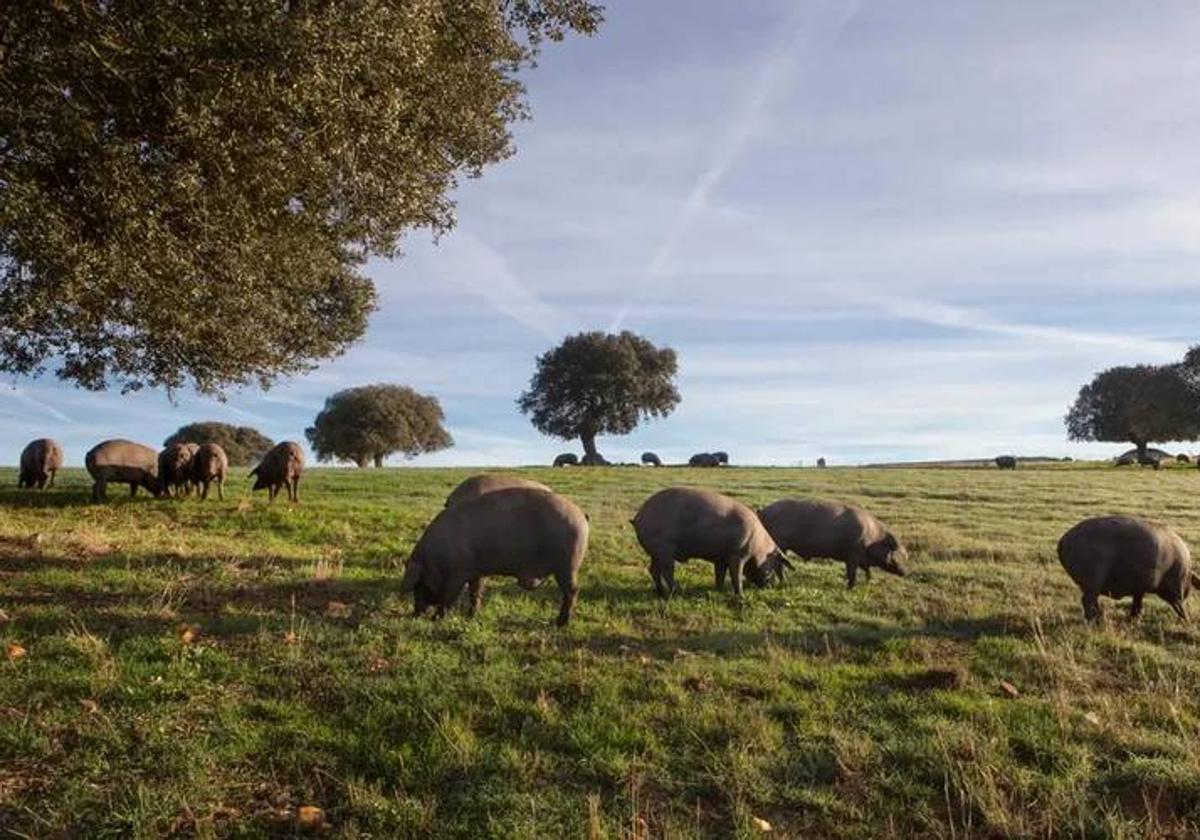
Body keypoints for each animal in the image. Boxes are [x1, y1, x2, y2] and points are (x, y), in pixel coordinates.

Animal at [403, 482, 590, 628]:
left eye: (418, 583)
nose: (415, 614)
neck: (435, 556)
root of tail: (581, 513)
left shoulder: (458, 572)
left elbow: (448, 596)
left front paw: (436, 619)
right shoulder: (475, 571)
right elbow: (475, 592)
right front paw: (472, 615)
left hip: (568, 564)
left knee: (572, 590)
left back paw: (560, 623)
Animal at [628, 484, 787, 597]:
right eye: (771, 567)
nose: (772, 586)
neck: (758, 546)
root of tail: (639, 517)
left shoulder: (721, 559)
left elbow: (720, 575)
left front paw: (719, 590)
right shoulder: (737, 555)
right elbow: (736, 576)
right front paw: (741, 597)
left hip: (655, 553)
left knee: (653, 570)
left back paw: (661, 593)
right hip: (664, 551)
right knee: (667, 572)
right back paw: (674, 593)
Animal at [758, 499, 907, 590]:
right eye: (895, 552)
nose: (905, 572)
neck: (873, 539)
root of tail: (762, 511)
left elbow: (866, 571)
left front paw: (869, 581)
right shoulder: (853, 554)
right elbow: (852, 572)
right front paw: (851, 588)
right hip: (779, 544)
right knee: (778, 565)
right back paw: (785, 582)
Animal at [1056, 516, 1195, 619]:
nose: (1186, 592)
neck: (1186, 573)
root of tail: (1062, 541)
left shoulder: (1140, 588)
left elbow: (1138, 603)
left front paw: (1134, 619)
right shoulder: (1174, 587)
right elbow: (1178, 605)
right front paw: (1187, 620)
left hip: (1089, 583)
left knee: (1090, 601)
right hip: (1093, 579)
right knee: (1088, 601)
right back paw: (1097, 620)